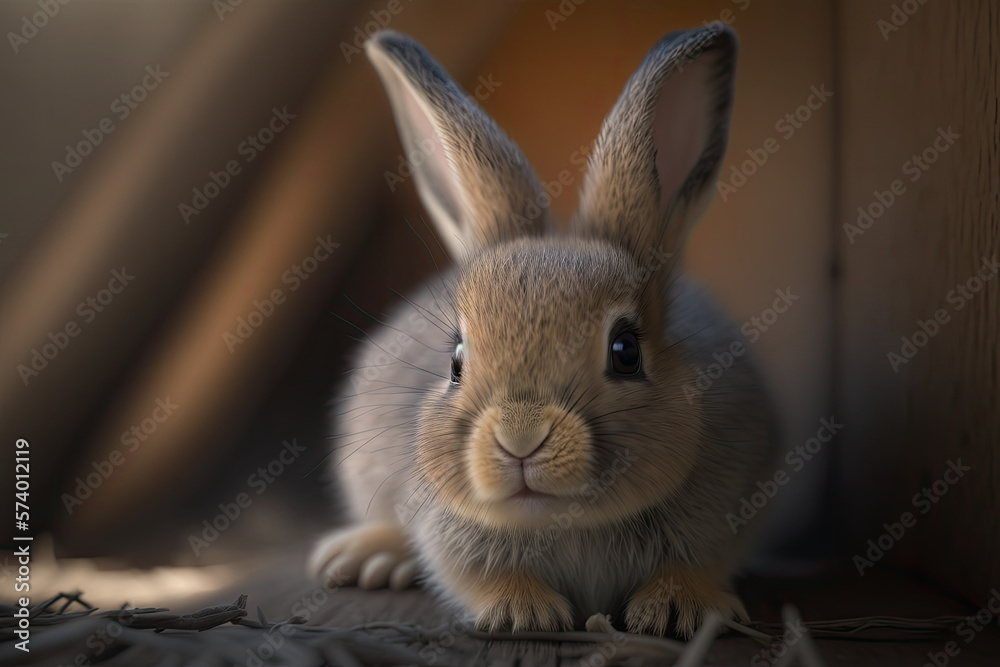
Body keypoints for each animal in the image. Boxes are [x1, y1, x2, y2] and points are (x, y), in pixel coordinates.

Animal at [307, 22, 778, 638]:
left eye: (626, 351)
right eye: (456, 361)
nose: (521, 438)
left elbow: (698, 564)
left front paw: (677, 611)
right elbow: (473, 575)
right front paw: (522, 612)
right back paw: (367, 556)